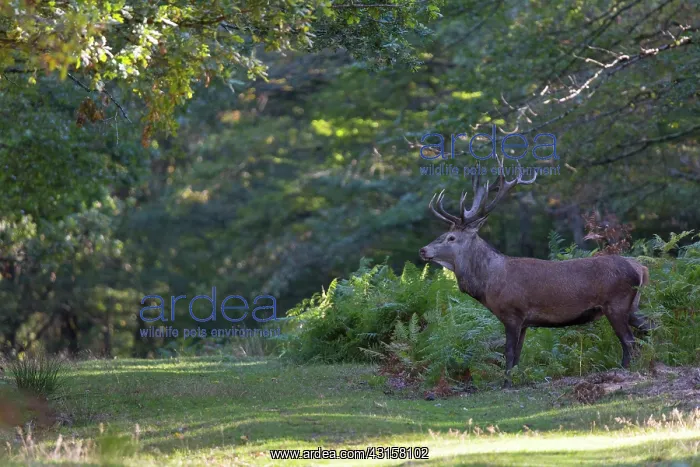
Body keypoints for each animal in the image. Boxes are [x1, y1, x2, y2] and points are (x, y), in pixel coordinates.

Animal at [419, 156, 652, 388]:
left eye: (451, 238)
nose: (423, 250)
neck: (488, 284)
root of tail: (641, 268)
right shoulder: (524, 322)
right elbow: (518, 354)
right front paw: (516, 380)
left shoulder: (512, 313)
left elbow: (509, 353)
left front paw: (506, 384)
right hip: (632, 305)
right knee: (649, 326)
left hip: (616, 303)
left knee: (629, 341)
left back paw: (622, 371)